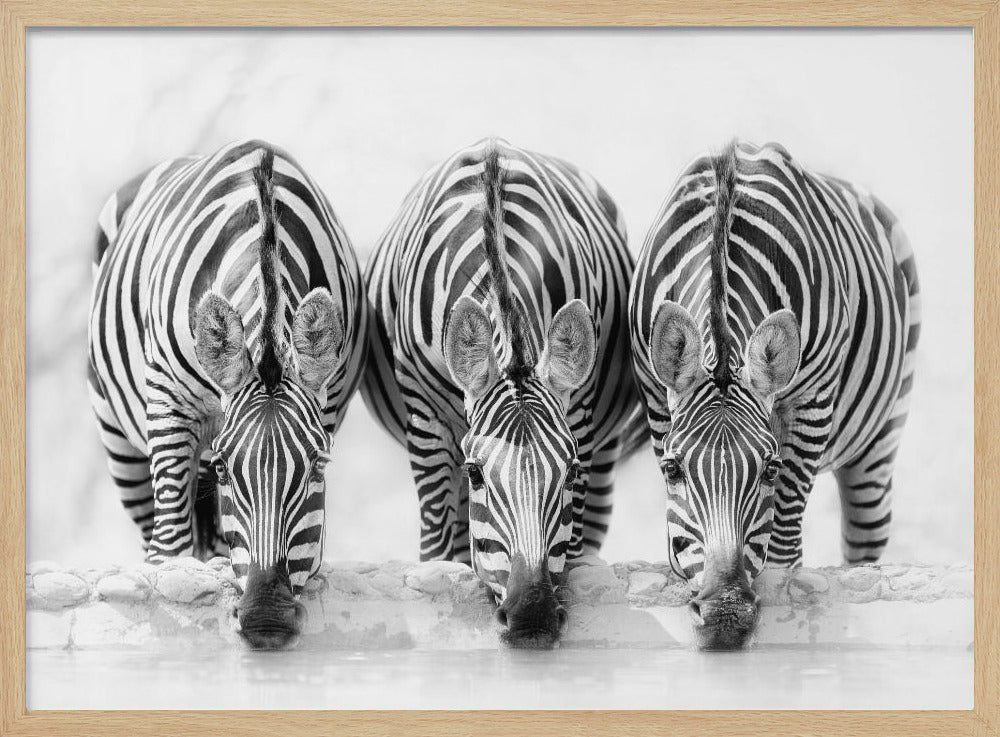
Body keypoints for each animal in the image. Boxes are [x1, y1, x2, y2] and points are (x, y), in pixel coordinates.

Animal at [88, 139, 366, 649]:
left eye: (319, 466)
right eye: (224, 468)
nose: (266, 619)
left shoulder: (329, 402)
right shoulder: (169, 403)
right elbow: (169, 548)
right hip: (119, 440)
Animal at [362, 138, 647, 648]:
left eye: (571, 471)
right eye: (477, 473)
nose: (531, 617)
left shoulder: (581, 417)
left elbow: (572, 544)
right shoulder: (425, 421)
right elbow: (438, 547)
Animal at [629, 139, 920, 650]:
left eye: (769, 469)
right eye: (671, 469)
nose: (724, 616)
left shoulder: (813, 402)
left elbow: (784, 530)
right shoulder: (654, 394)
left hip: (880, 439)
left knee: (864, 541)